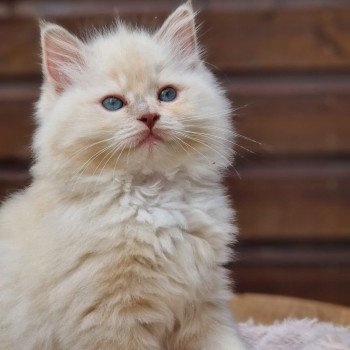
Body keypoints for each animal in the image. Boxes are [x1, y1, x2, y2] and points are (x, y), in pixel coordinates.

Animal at [0, 2, 247, 350]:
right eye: (113, 103)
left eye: (167, 95)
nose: (149, 117)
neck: (153, 198)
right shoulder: (111, 320)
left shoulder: (203, 305)